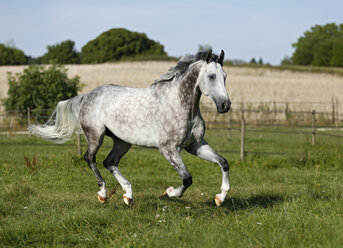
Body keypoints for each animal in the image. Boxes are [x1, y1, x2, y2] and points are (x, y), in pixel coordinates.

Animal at [29, 49, 232, 206]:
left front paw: (220, 197)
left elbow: (223, 162)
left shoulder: (195, 145)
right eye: (211, 76)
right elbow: (187, 178)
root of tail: (86, 96)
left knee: (110, 162)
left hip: (122, 141)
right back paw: (103, 195)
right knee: (90, 158)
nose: (225, 105)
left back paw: (128, 195)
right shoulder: (168, 149)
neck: (180, 104)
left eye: (225, 77)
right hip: (96, 136)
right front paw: (170, 192)